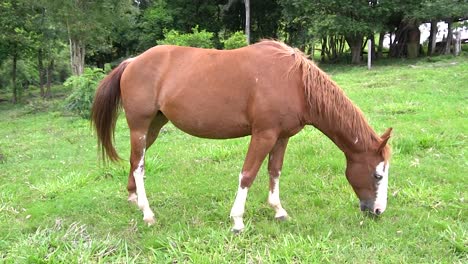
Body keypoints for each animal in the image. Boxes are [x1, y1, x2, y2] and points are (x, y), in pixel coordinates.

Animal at [90, 40, 392, 232]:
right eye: (378, 175)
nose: (378, 211)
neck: (294, 82)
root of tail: (132, 62)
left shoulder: (281, 137)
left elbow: (274, 171)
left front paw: (278, 210)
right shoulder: (263, 135)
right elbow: (248, 174)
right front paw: (237, 221)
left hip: (153, 126)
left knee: (134, 163)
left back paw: (134, 200)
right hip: (140, 127)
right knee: (140, 167)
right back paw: (148, 214)